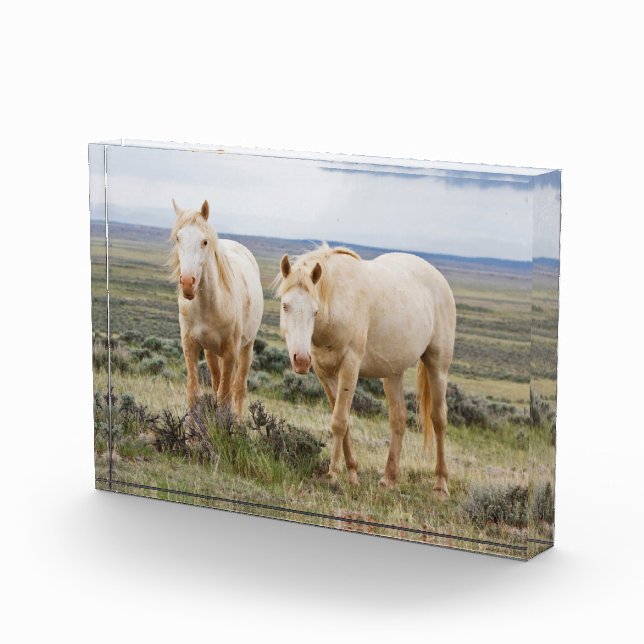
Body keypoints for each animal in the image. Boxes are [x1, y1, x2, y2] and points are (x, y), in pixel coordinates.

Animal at [169, 200, 263, 422]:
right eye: (178, 238)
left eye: (204, 242)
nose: (188, 283)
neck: (210, 306)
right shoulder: (190, 346)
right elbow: (194, 392)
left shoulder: (230, 351)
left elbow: (225, 396)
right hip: (211, 351)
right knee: (216, 382)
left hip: (246, 348)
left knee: (239, 388)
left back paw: (239, 422)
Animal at [274, 244, 456, 498]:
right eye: (285, 305)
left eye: (314, 311)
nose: (300, 360)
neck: (338, 303)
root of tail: (439, 278)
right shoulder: (324, 372)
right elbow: (344, 422)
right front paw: (352, 475)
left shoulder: (350, 366)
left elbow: (339, 421)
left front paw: (333, 475)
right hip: (393, 373)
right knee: (398, 419)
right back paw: (388, 479)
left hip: (437, 365)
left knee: (439, 420)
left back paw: (440, 485)